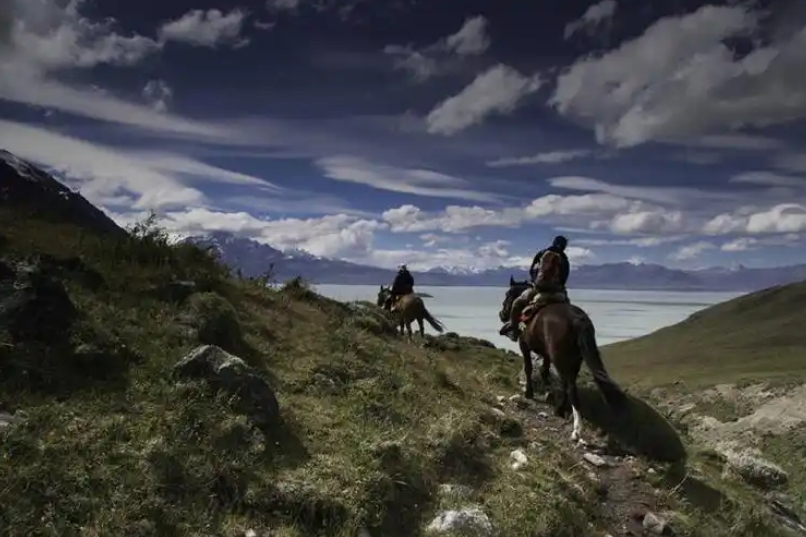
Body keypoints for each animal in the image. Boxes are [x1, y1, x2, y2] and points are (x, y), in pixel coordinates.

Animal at [498, 274, 632, 442]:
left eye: (508, 294)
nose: (502, 314)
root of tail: (577, 319)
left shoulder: (524, 345)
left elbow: (529, 368)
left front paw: (529, 392)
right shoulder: (547, 354)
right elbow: (544, 370)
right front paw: (547, 390)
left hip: (561, 360)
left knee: (570, 388)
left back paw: (576, 429)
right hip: (573, 361)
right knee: (567, 384)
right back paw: (560, 409)